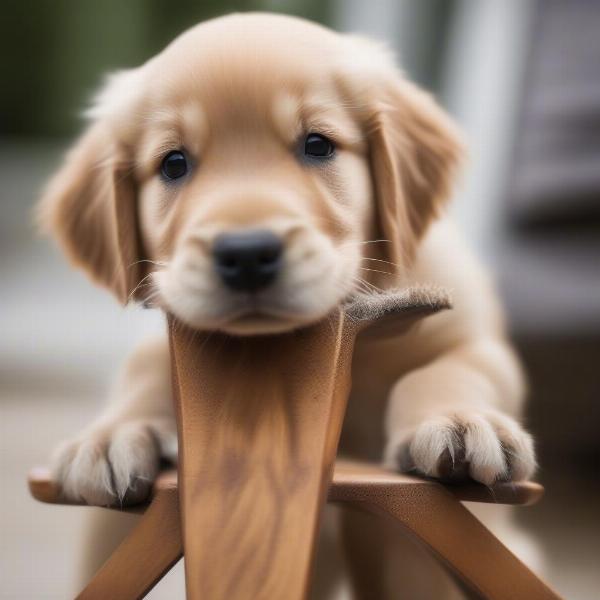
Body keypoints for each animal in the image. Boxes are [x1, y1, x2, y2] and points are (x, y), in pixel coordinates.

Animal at [41, 11, 540, 596]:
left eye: (317, 145)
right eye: (173, 163)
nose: (246, 254)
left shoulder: (474, 336)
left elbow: (452, 368)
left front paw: (462, 422)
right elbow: (145, 368)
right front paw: (113, 433)